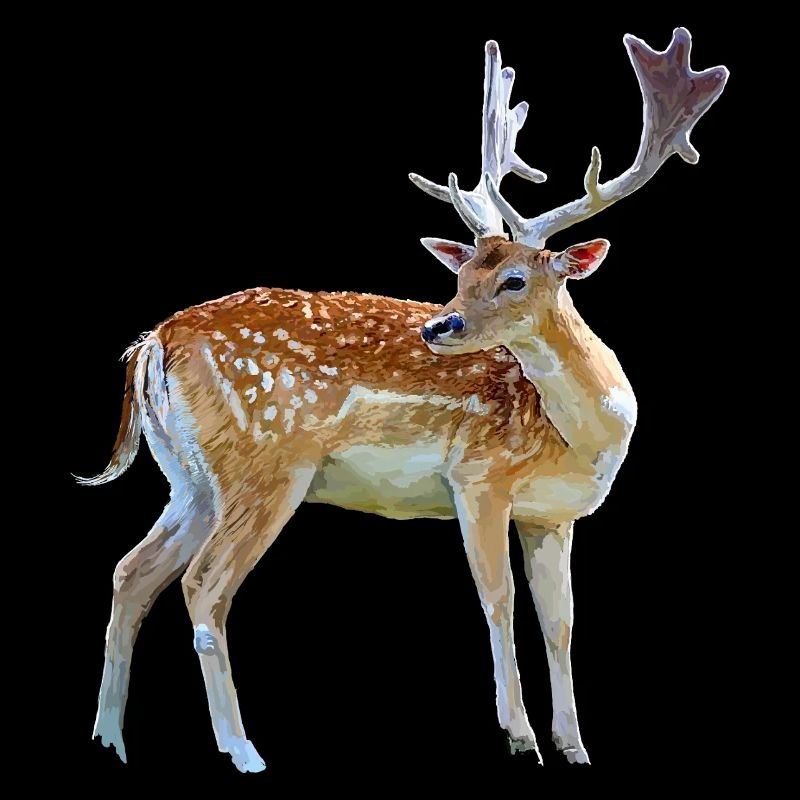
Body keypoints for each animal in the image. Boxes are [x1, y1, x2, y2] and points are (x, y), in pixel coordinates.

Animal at [82, 28, 728, 772]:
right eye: (460, 273)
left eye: (512, 279)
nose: (438, 326)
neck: (586, 436)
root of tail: (153, 342)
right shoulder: (477, 477)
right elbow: (499, 600)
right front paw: (522, 738)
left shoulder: (554, 514)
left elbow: (561, 623)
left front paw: (575, 746)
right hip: (262, 463)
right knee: (204, 585)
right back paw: (243, 750)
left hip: (190, 477)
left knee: (132, 573)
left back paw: (109, 737)